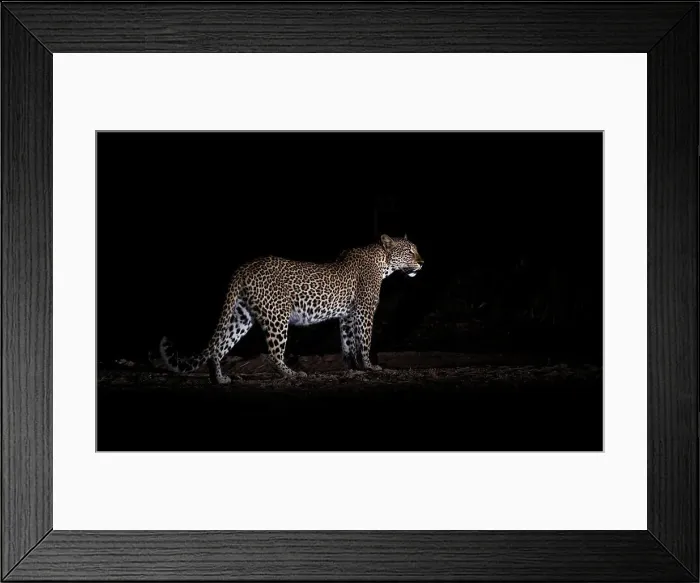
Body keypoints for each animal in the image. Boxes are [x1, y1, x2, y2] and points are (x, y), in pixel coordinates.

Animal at [159, 234, 424, 385]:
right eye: (409, 250)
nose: (422, 262)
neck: (383, 262)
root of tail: (244, 267)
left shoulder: (347, 315)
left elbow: (348, 343)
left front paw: (353, 369)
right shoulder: (364, 311)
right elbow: (364, 341)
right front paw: (369, 367)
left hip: (241, 316)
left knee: (218, 345)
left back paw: (219, 378)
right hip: (277, 315)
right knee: (273, 354)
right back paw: (291, 374)